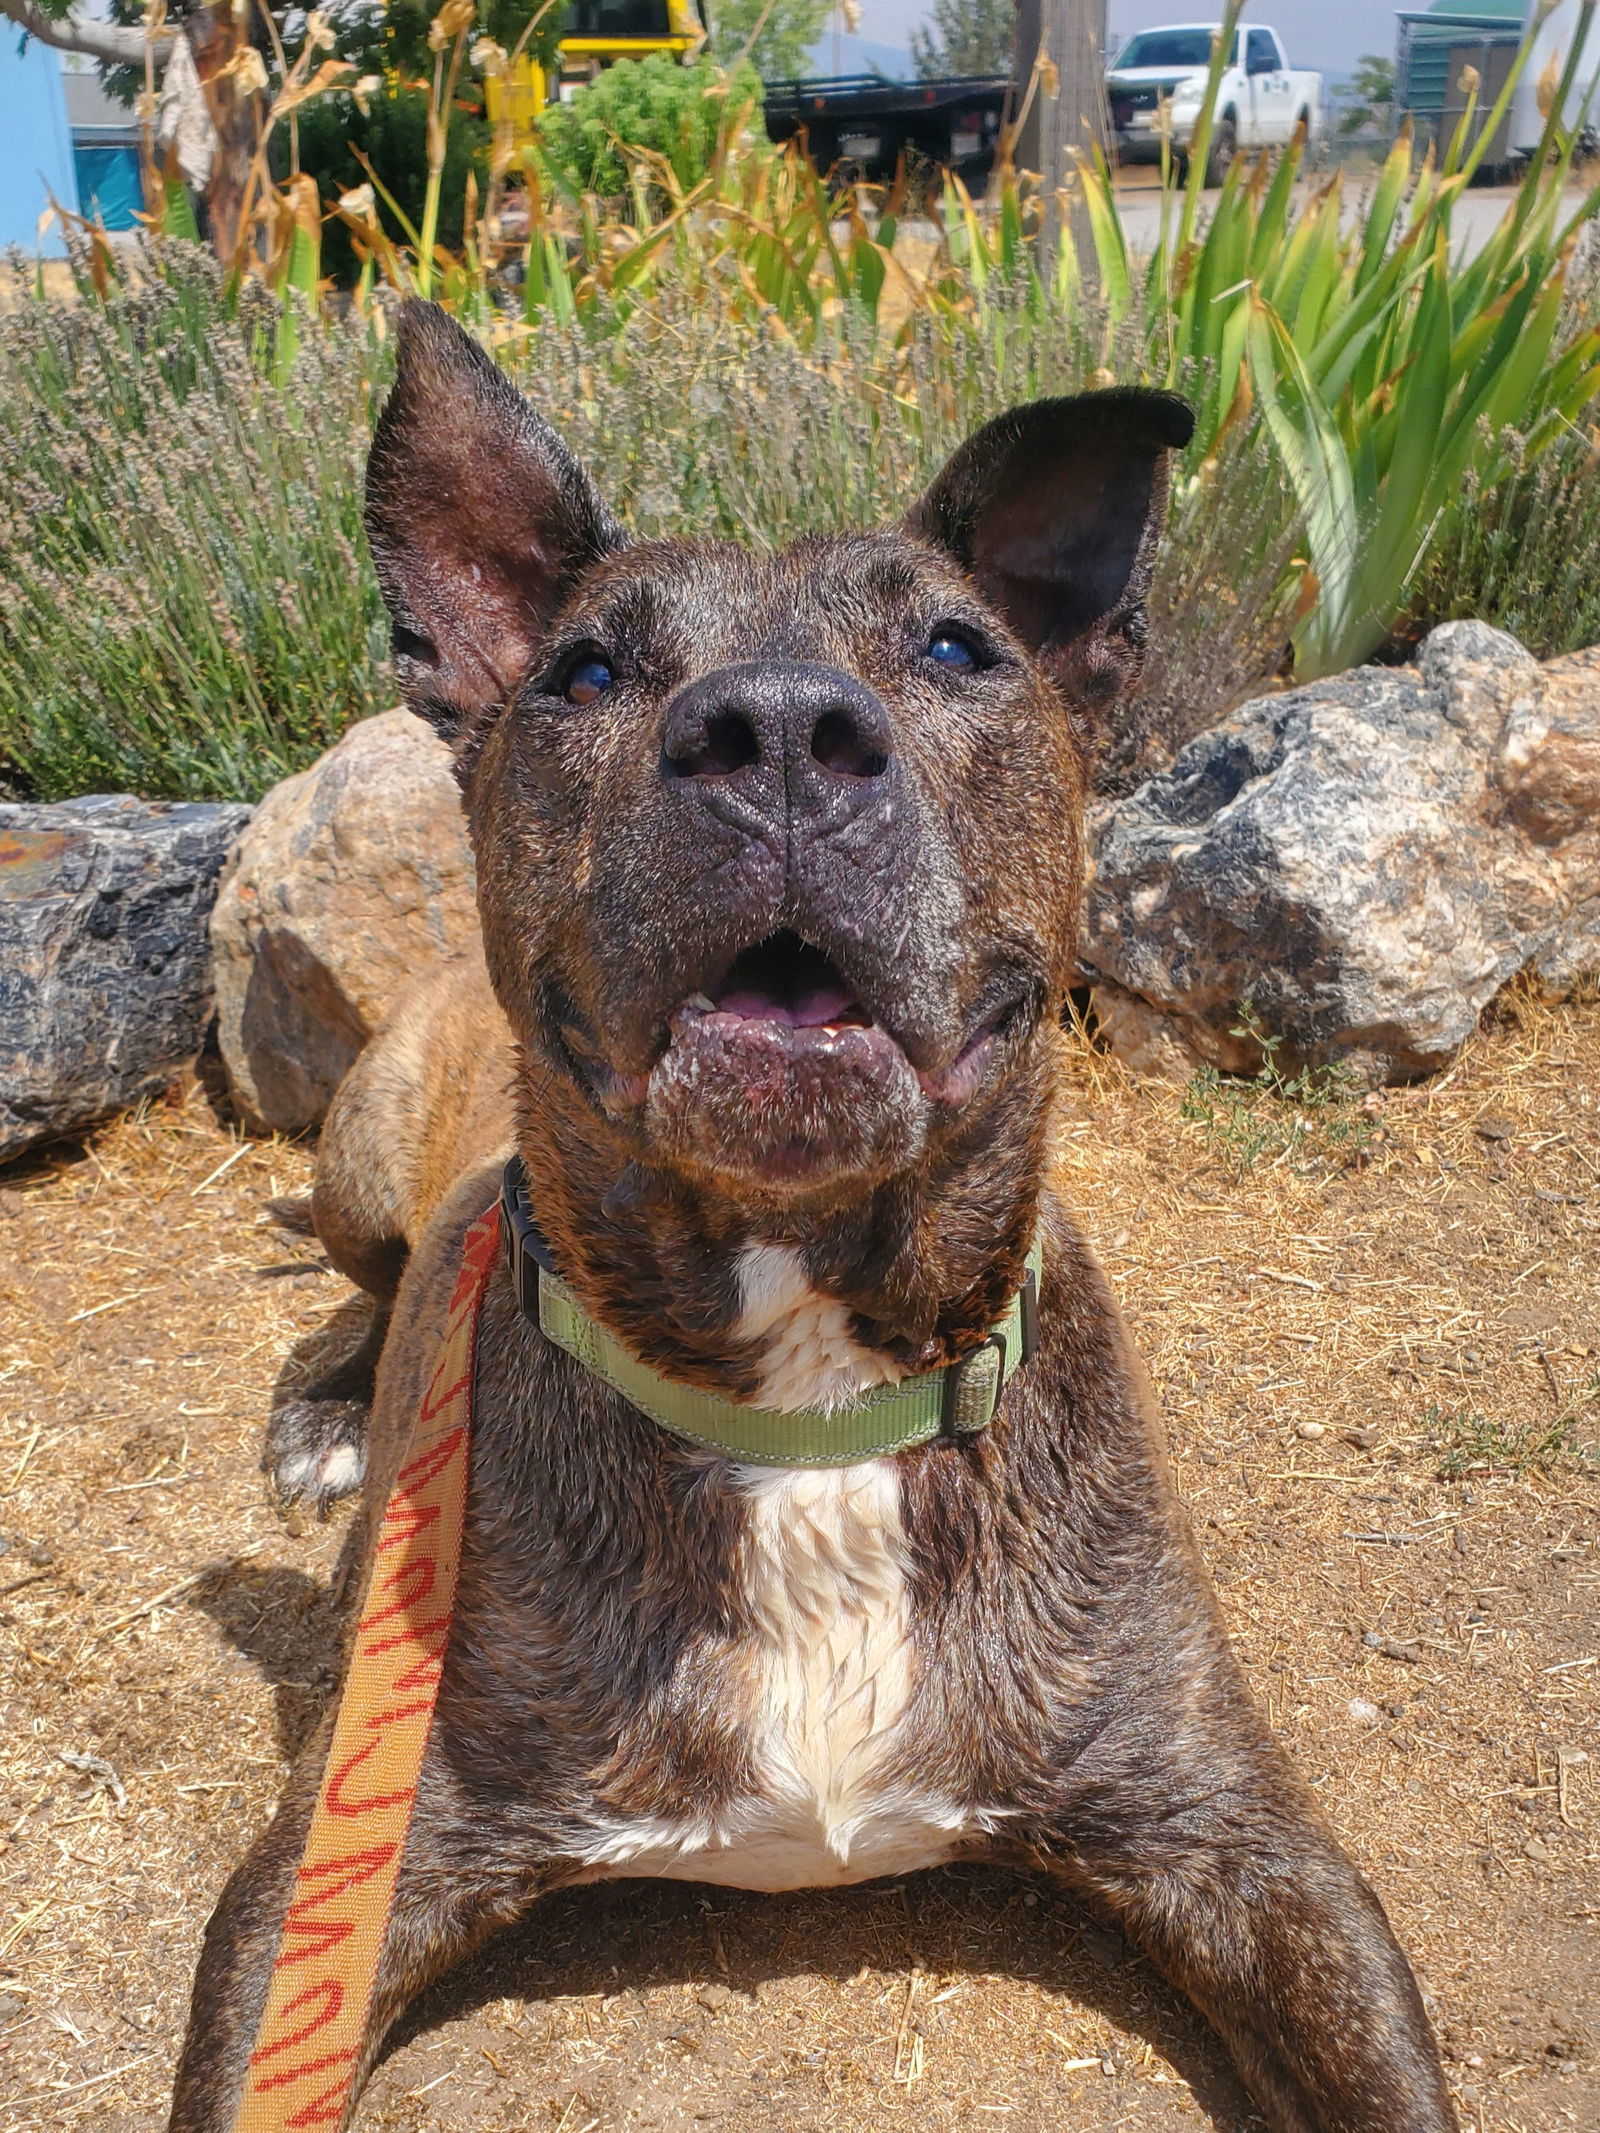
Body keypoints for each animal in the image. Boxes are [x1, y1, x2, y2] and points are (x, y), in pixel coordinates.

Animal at [169, 305, 1459, 2133]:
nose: (776, 727)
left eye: (956, 647)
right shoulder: (320, 1885)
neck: (809, 1407)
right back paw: (333, 1417)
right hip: (363, 1157)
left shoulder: (1244, 1842)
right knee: (353, 1286)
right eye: (586, 674)